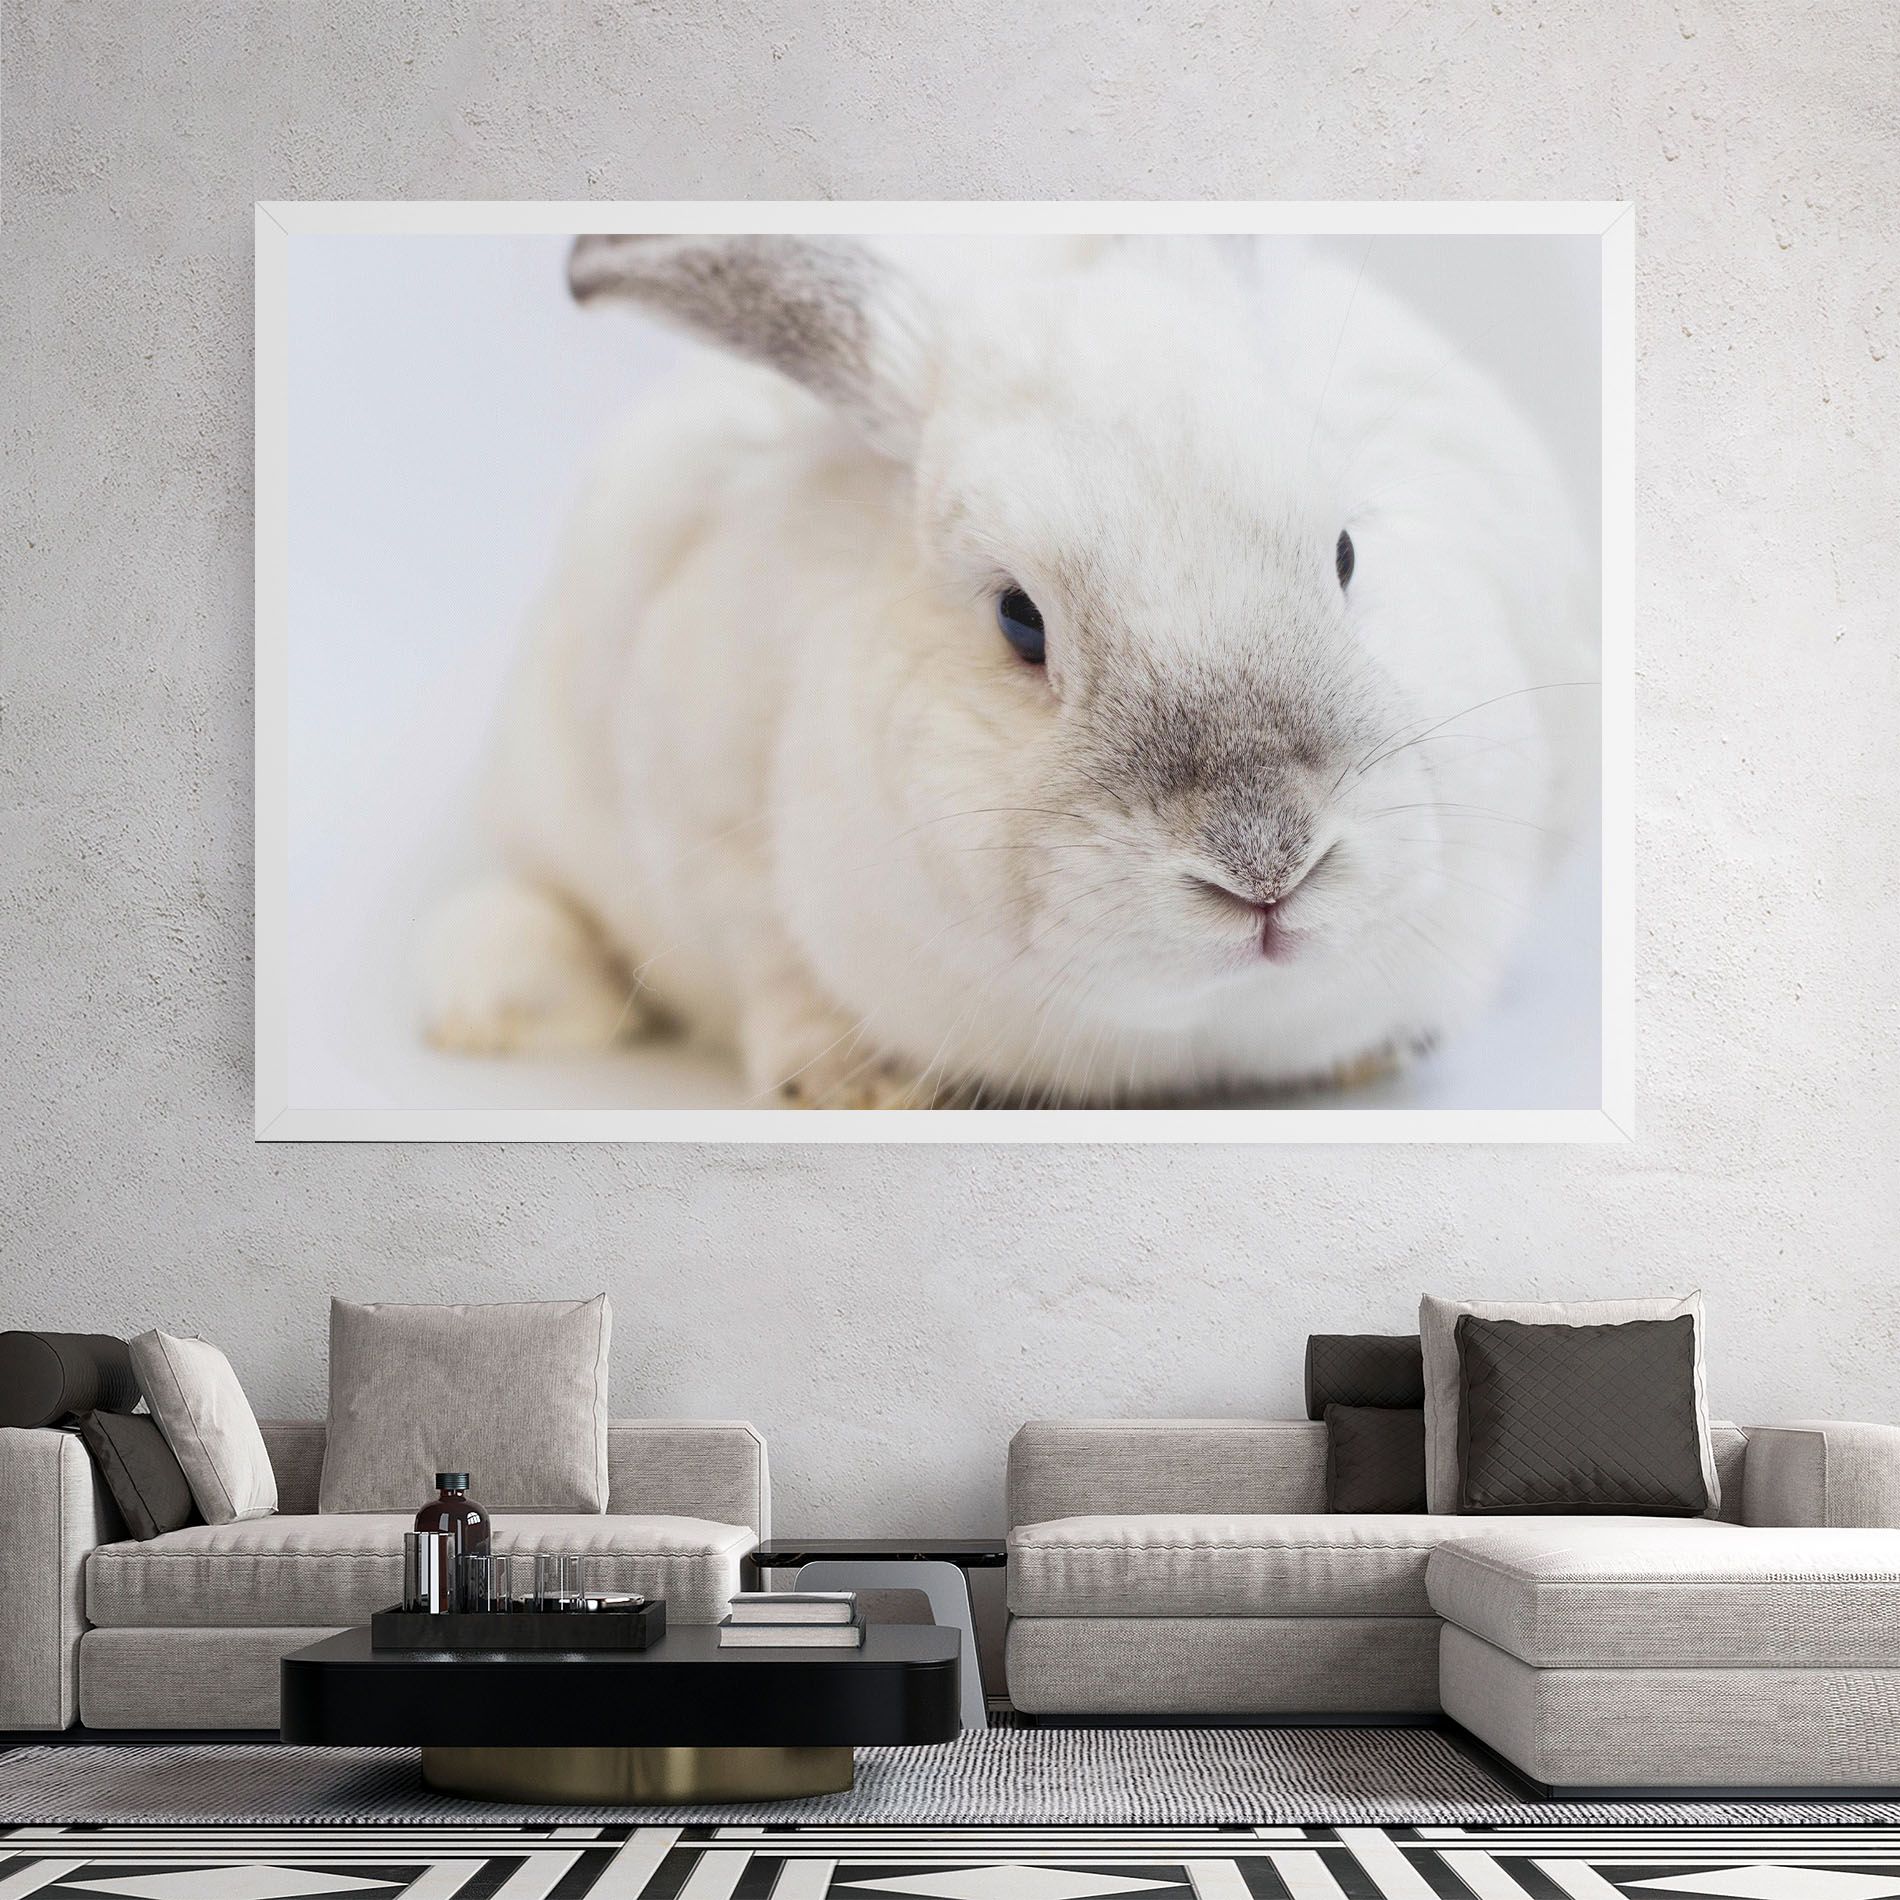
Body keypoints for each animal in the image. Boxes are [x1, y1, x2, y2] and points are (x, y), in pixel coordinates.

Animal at [417, 234, 1596, 1108]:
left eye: (1346, 553)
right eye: (1019, 619)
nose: (1266, 865)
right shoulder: (703, 823)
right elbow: (772, 965)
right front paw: (857, 1082)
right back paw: (490, 1008)